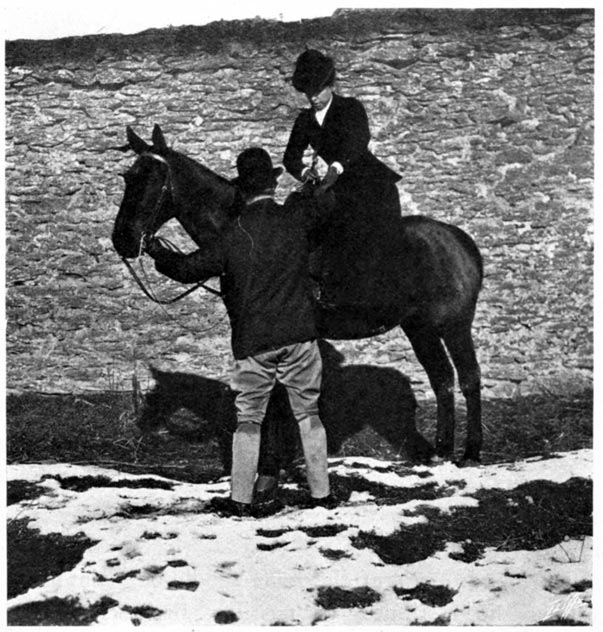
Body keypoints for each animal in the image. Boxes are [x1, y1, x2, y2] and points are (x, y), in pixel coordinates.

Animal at [112, 124, 484, 464]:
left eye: (153, 181)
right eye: (128, 178)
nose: (123, 240)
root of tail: (459, 241)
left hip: (454, 327)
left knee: (468, 378)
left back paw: (470, 452)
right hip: (420, 328)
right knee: (442, 379)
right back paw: (441, 451)